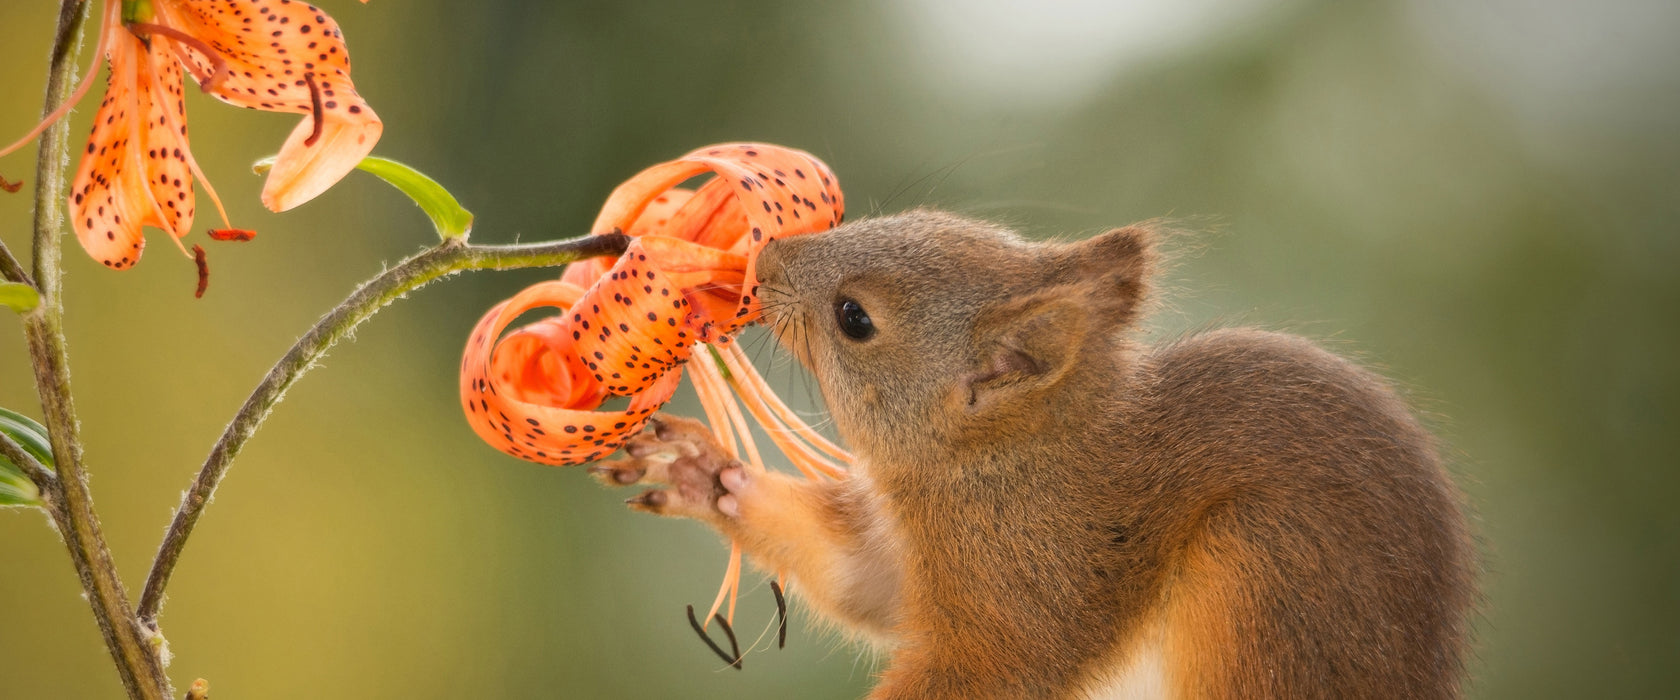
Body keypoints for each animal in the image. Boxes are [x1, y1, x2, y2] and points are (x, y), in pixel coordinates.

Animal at [591, 208, 1471, 698]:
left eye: (854, 319)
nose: (762, 261)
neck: (998, 464)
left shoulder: (1032, 583)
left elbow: (992, 667)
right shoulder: (919, 564)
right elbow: (861, 583)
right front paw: (702, 474)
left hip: (1269, 584)